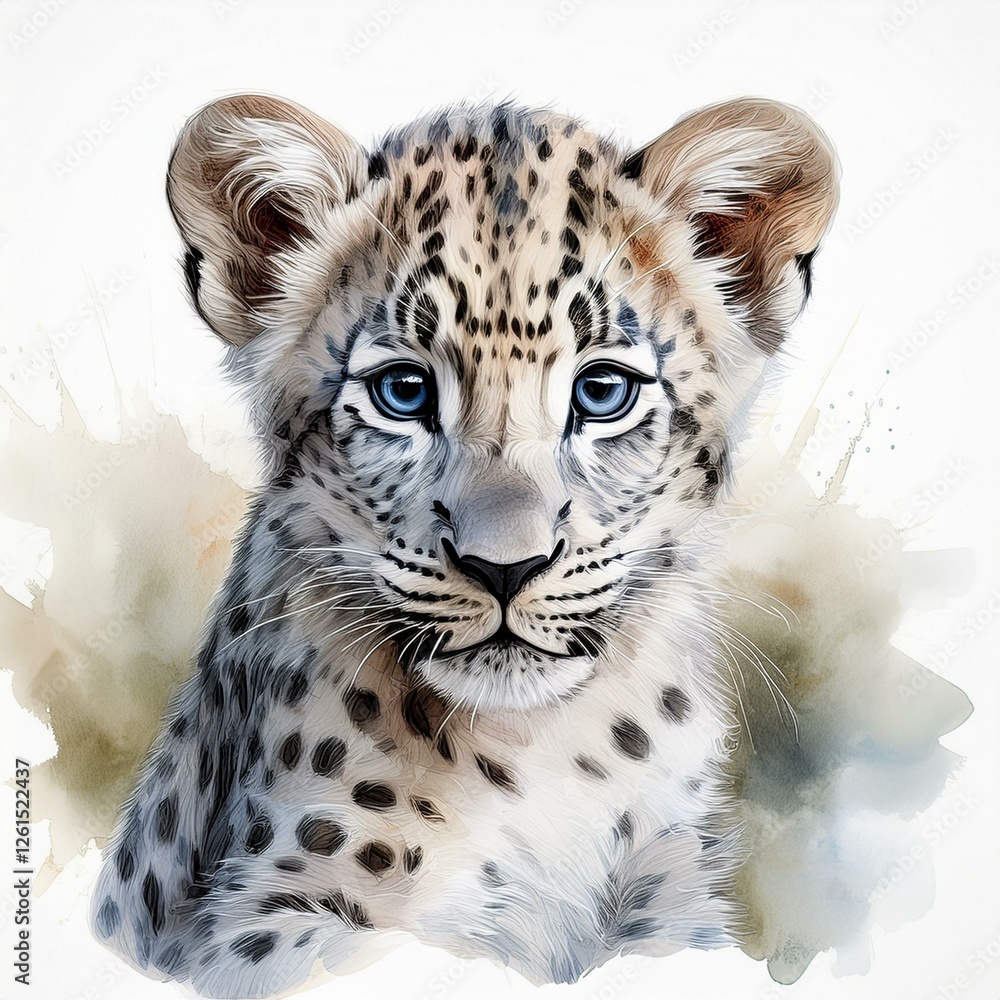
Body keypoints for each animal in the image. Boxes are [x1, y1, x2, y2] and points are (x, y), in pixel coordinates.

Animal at [89, 93, 838, 998]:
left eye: (603, 391)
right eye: (403, 392)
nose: (504, 567)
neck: (550, 751)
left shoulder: (669, 894)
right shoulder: (264, 915)